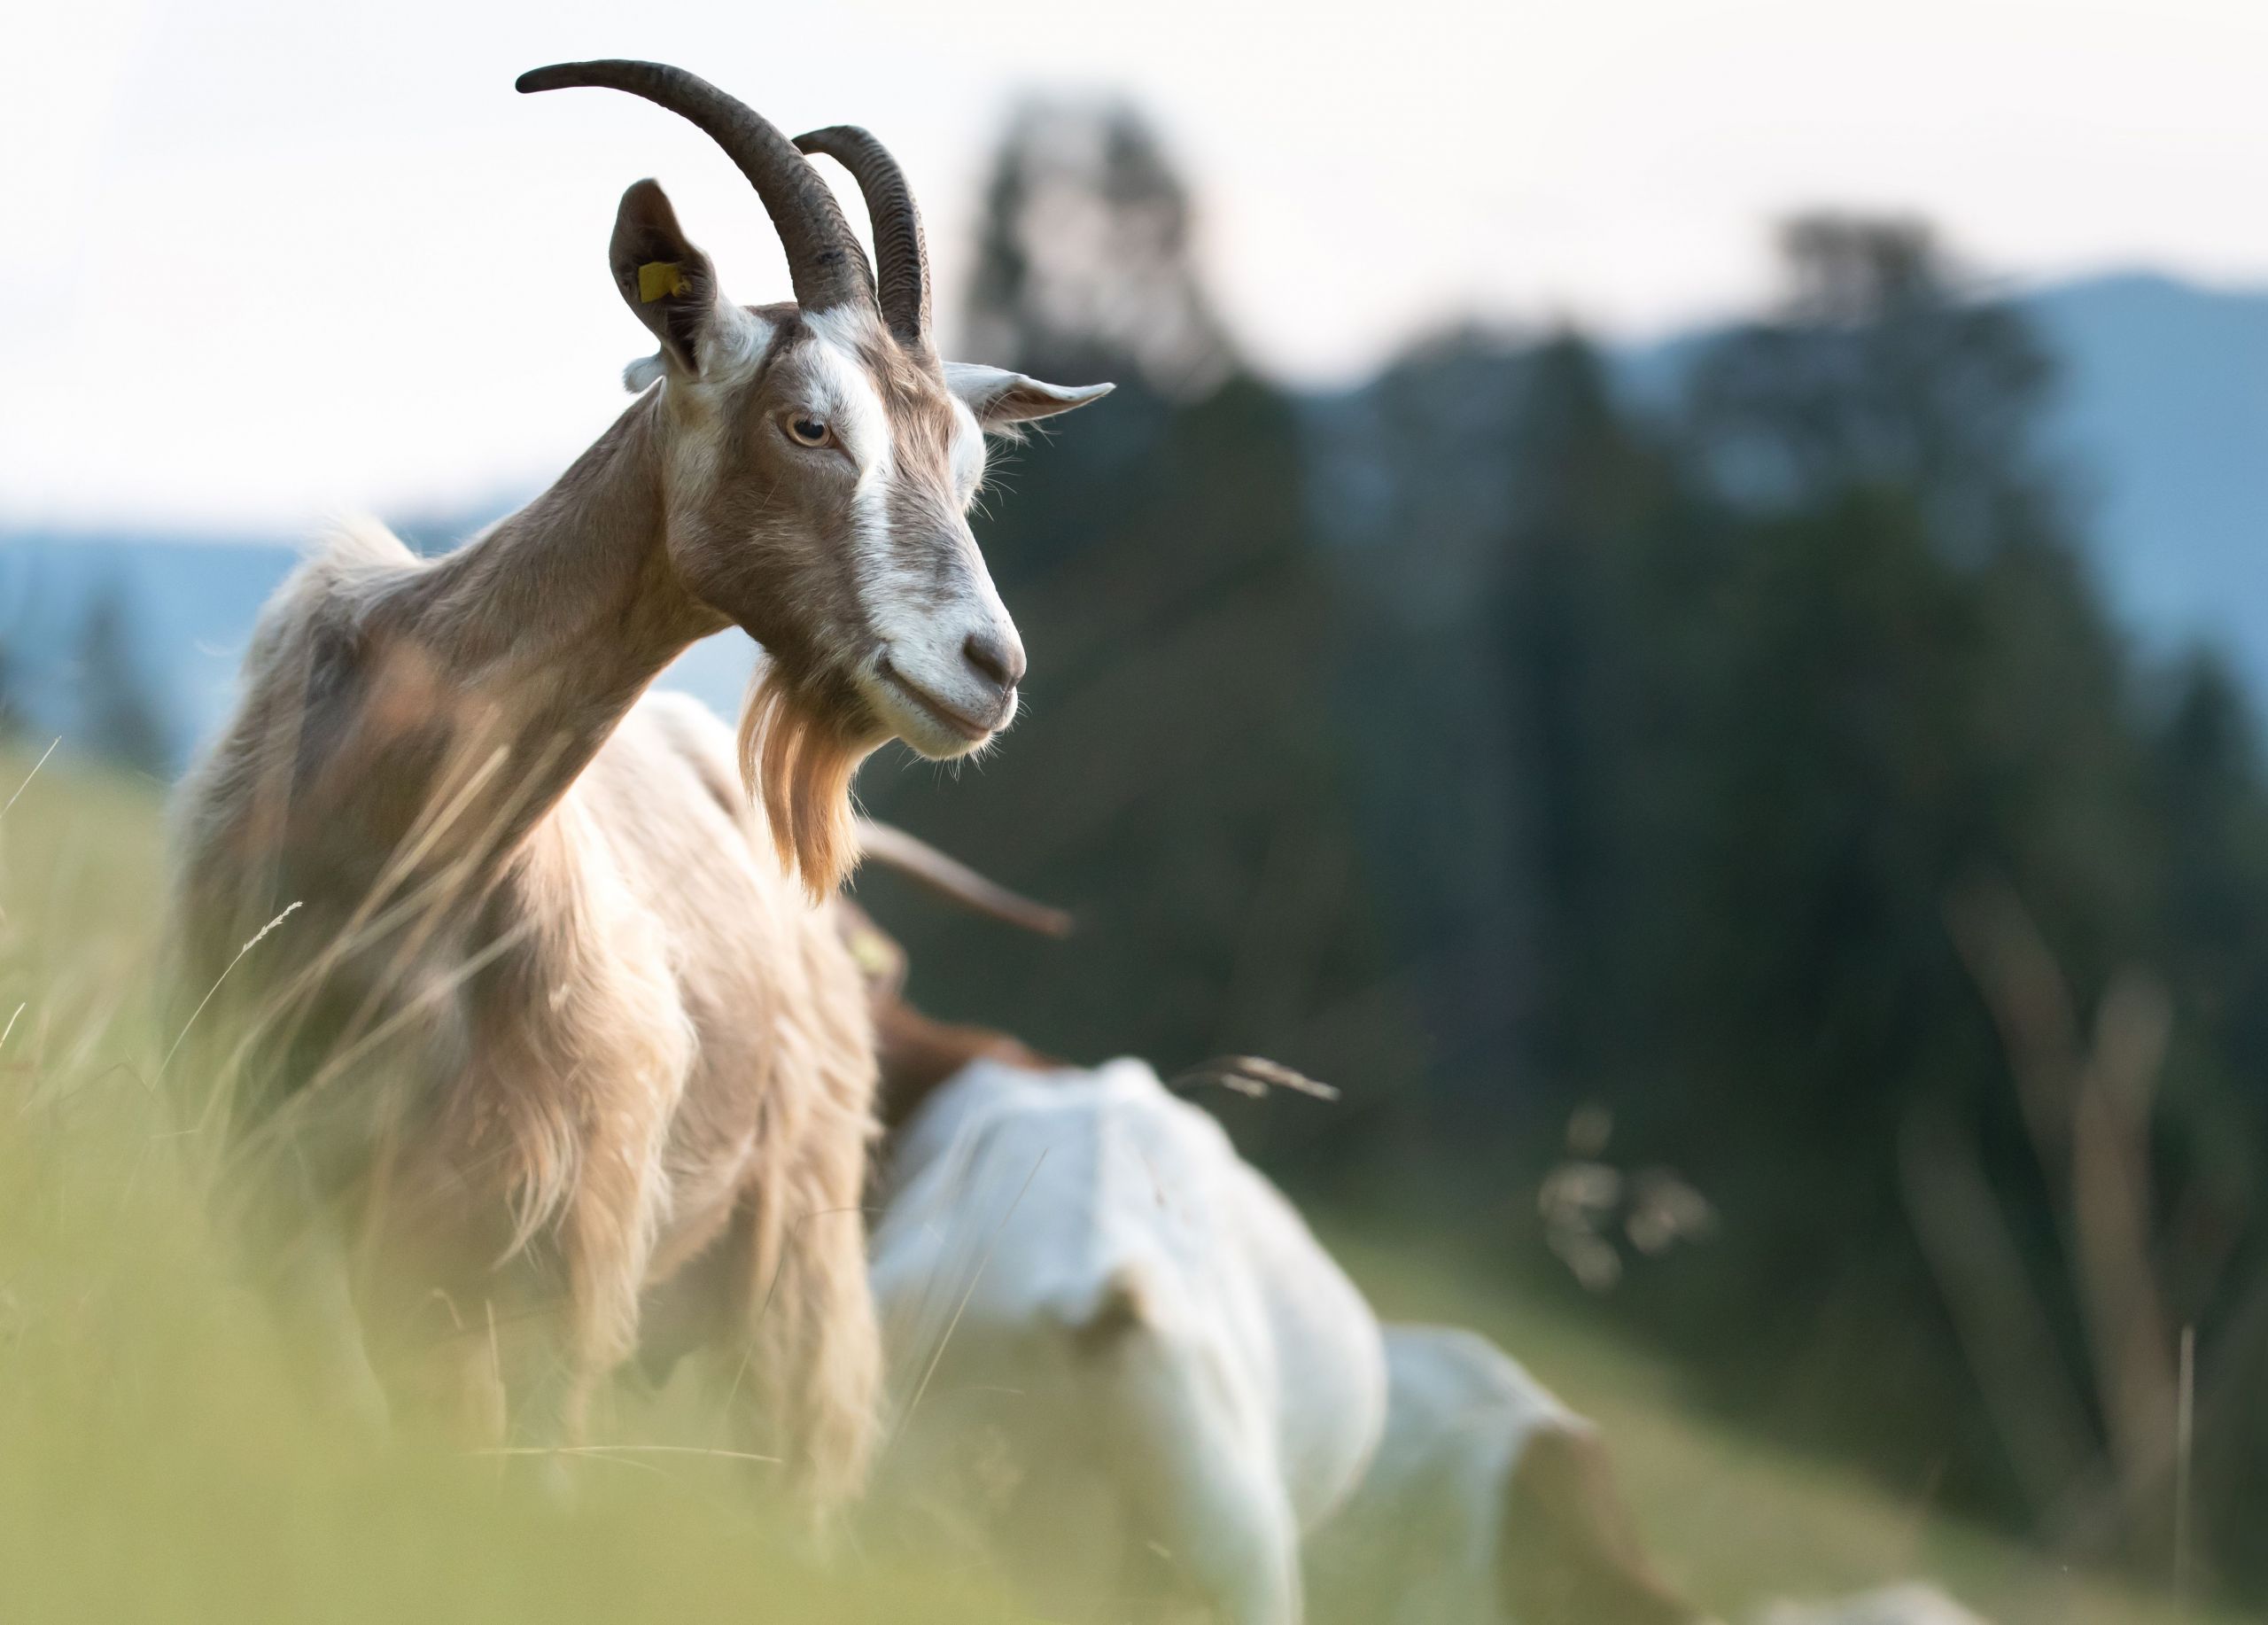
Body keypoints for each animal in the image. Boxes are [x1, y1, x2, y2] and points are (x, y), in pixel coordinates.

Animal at [165, 57, 1107, 1516]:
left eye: (967, 466)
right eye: (808, 422)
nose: (988, 668)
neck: (384, 842)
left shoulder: (549, 1262)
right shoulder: (269, 1191)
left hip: (792, 1269)